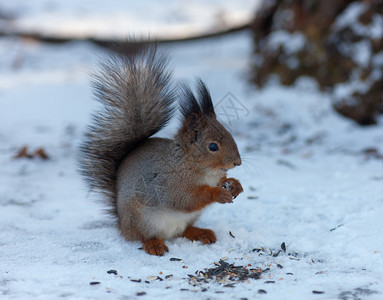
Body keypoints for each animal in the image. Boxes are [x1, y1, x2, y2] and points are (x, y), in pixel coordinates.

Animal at [79, 41, 244, 255]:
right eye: (213, 146)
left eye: (230, 134)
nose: (237, 162)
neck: (194, 165)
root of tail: (122, 225)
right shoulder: (170, 185)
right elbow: (186, 199)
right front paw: (218, 193)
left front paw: (235, 184)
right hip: (141, 219)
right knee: (144, 236)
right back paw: (154, 244)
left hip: (188, 218)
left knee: (184, 230)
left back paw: (200, 232)